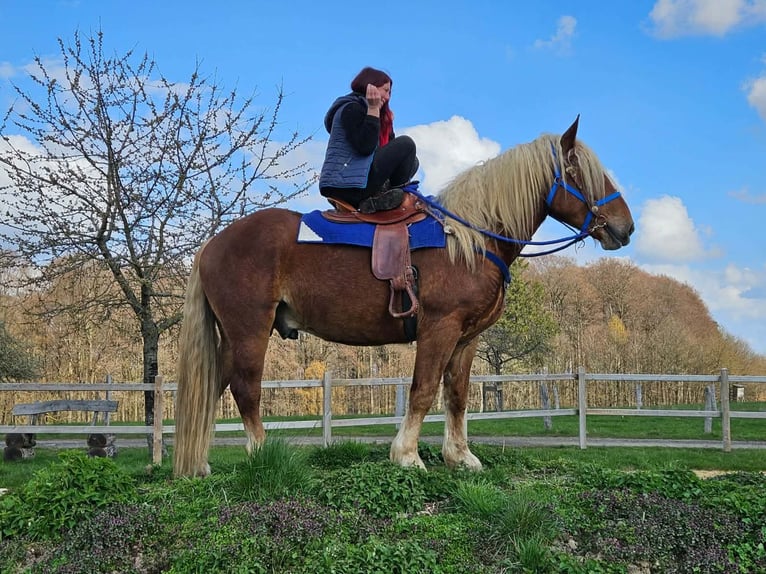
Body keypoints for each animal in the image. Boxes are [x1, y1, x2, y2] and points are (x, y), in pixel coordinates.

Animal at [173, 117, 634, 477]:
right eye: (578, 173)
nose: (625, 227)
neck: (468, 240)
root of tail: (213, 244)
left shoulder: (466, 339)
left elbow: (457, 395)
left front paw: (460, 457)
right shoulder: (439, 327)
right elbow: (424, 389)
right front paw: (408, 456)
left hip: (234, 335)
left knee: (213, 386)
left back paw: (198, 464)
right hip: (250, 329)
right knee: (245, 388)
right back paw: (260, 452)